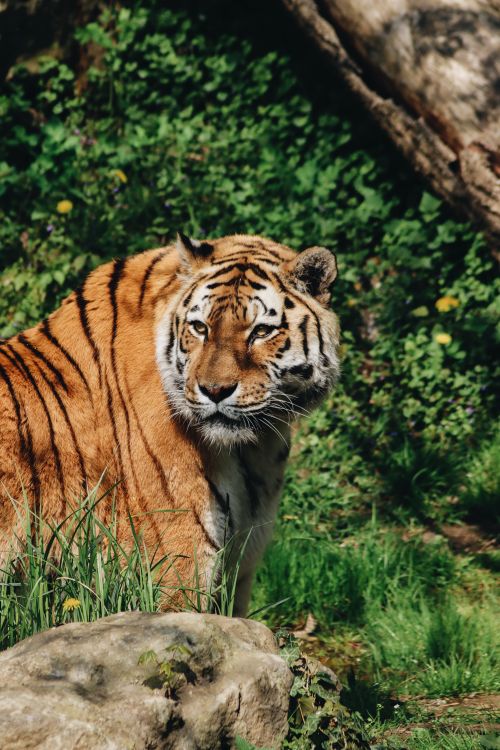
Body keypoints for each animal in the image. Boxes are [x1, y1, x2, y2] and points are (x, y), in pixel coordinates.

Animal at [0, 233, 340, 615]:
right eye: (200, 328)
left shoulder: (242, 562)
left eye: (262, 331)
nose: (215, 390)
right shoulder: (176, 561)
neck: (255, 444)